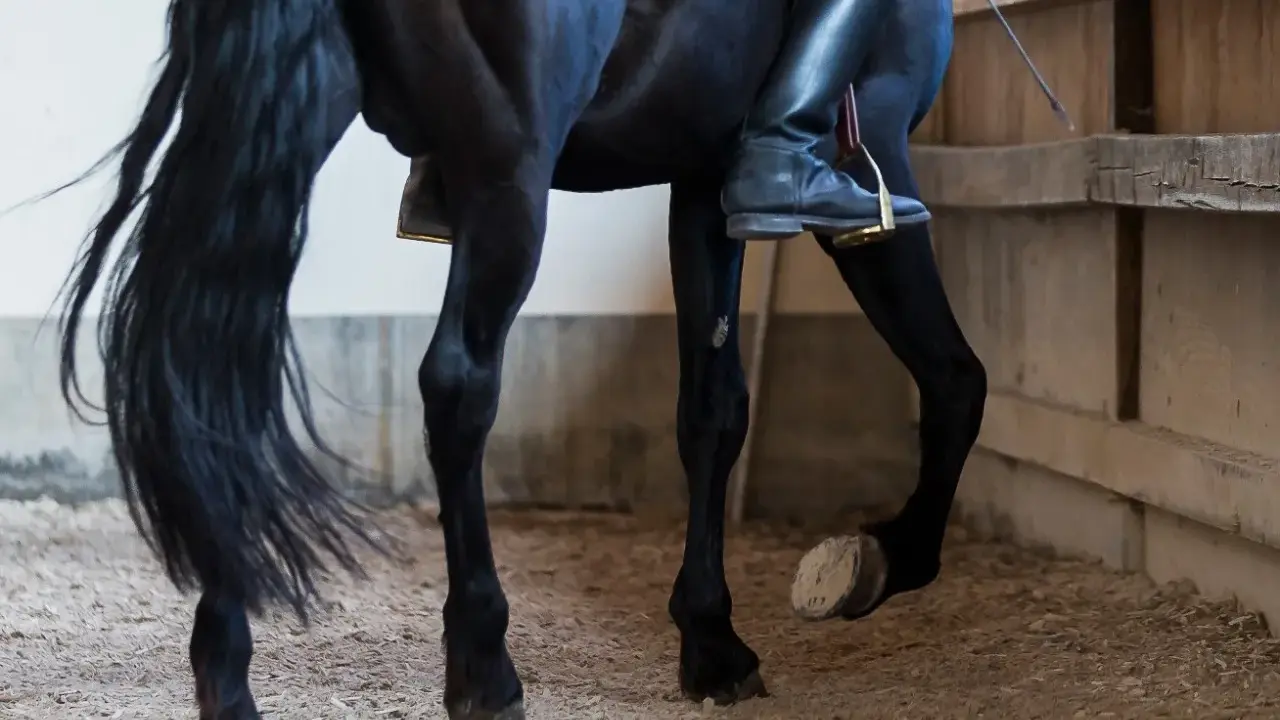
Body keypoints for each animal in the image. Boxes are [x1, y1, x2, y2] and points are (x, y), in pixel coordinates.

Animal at [47, 0, 1053, 717]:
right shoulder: (875, 158)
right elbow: (957, 379)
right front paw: (882, 560)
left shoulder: (705, 179)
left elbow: (713, 408)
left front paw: (709, 640)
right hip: (509, 173)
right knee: (456, 387)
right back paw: (484, 670)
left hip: (293, 118)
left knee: (214, 367)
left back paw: (227, 675)